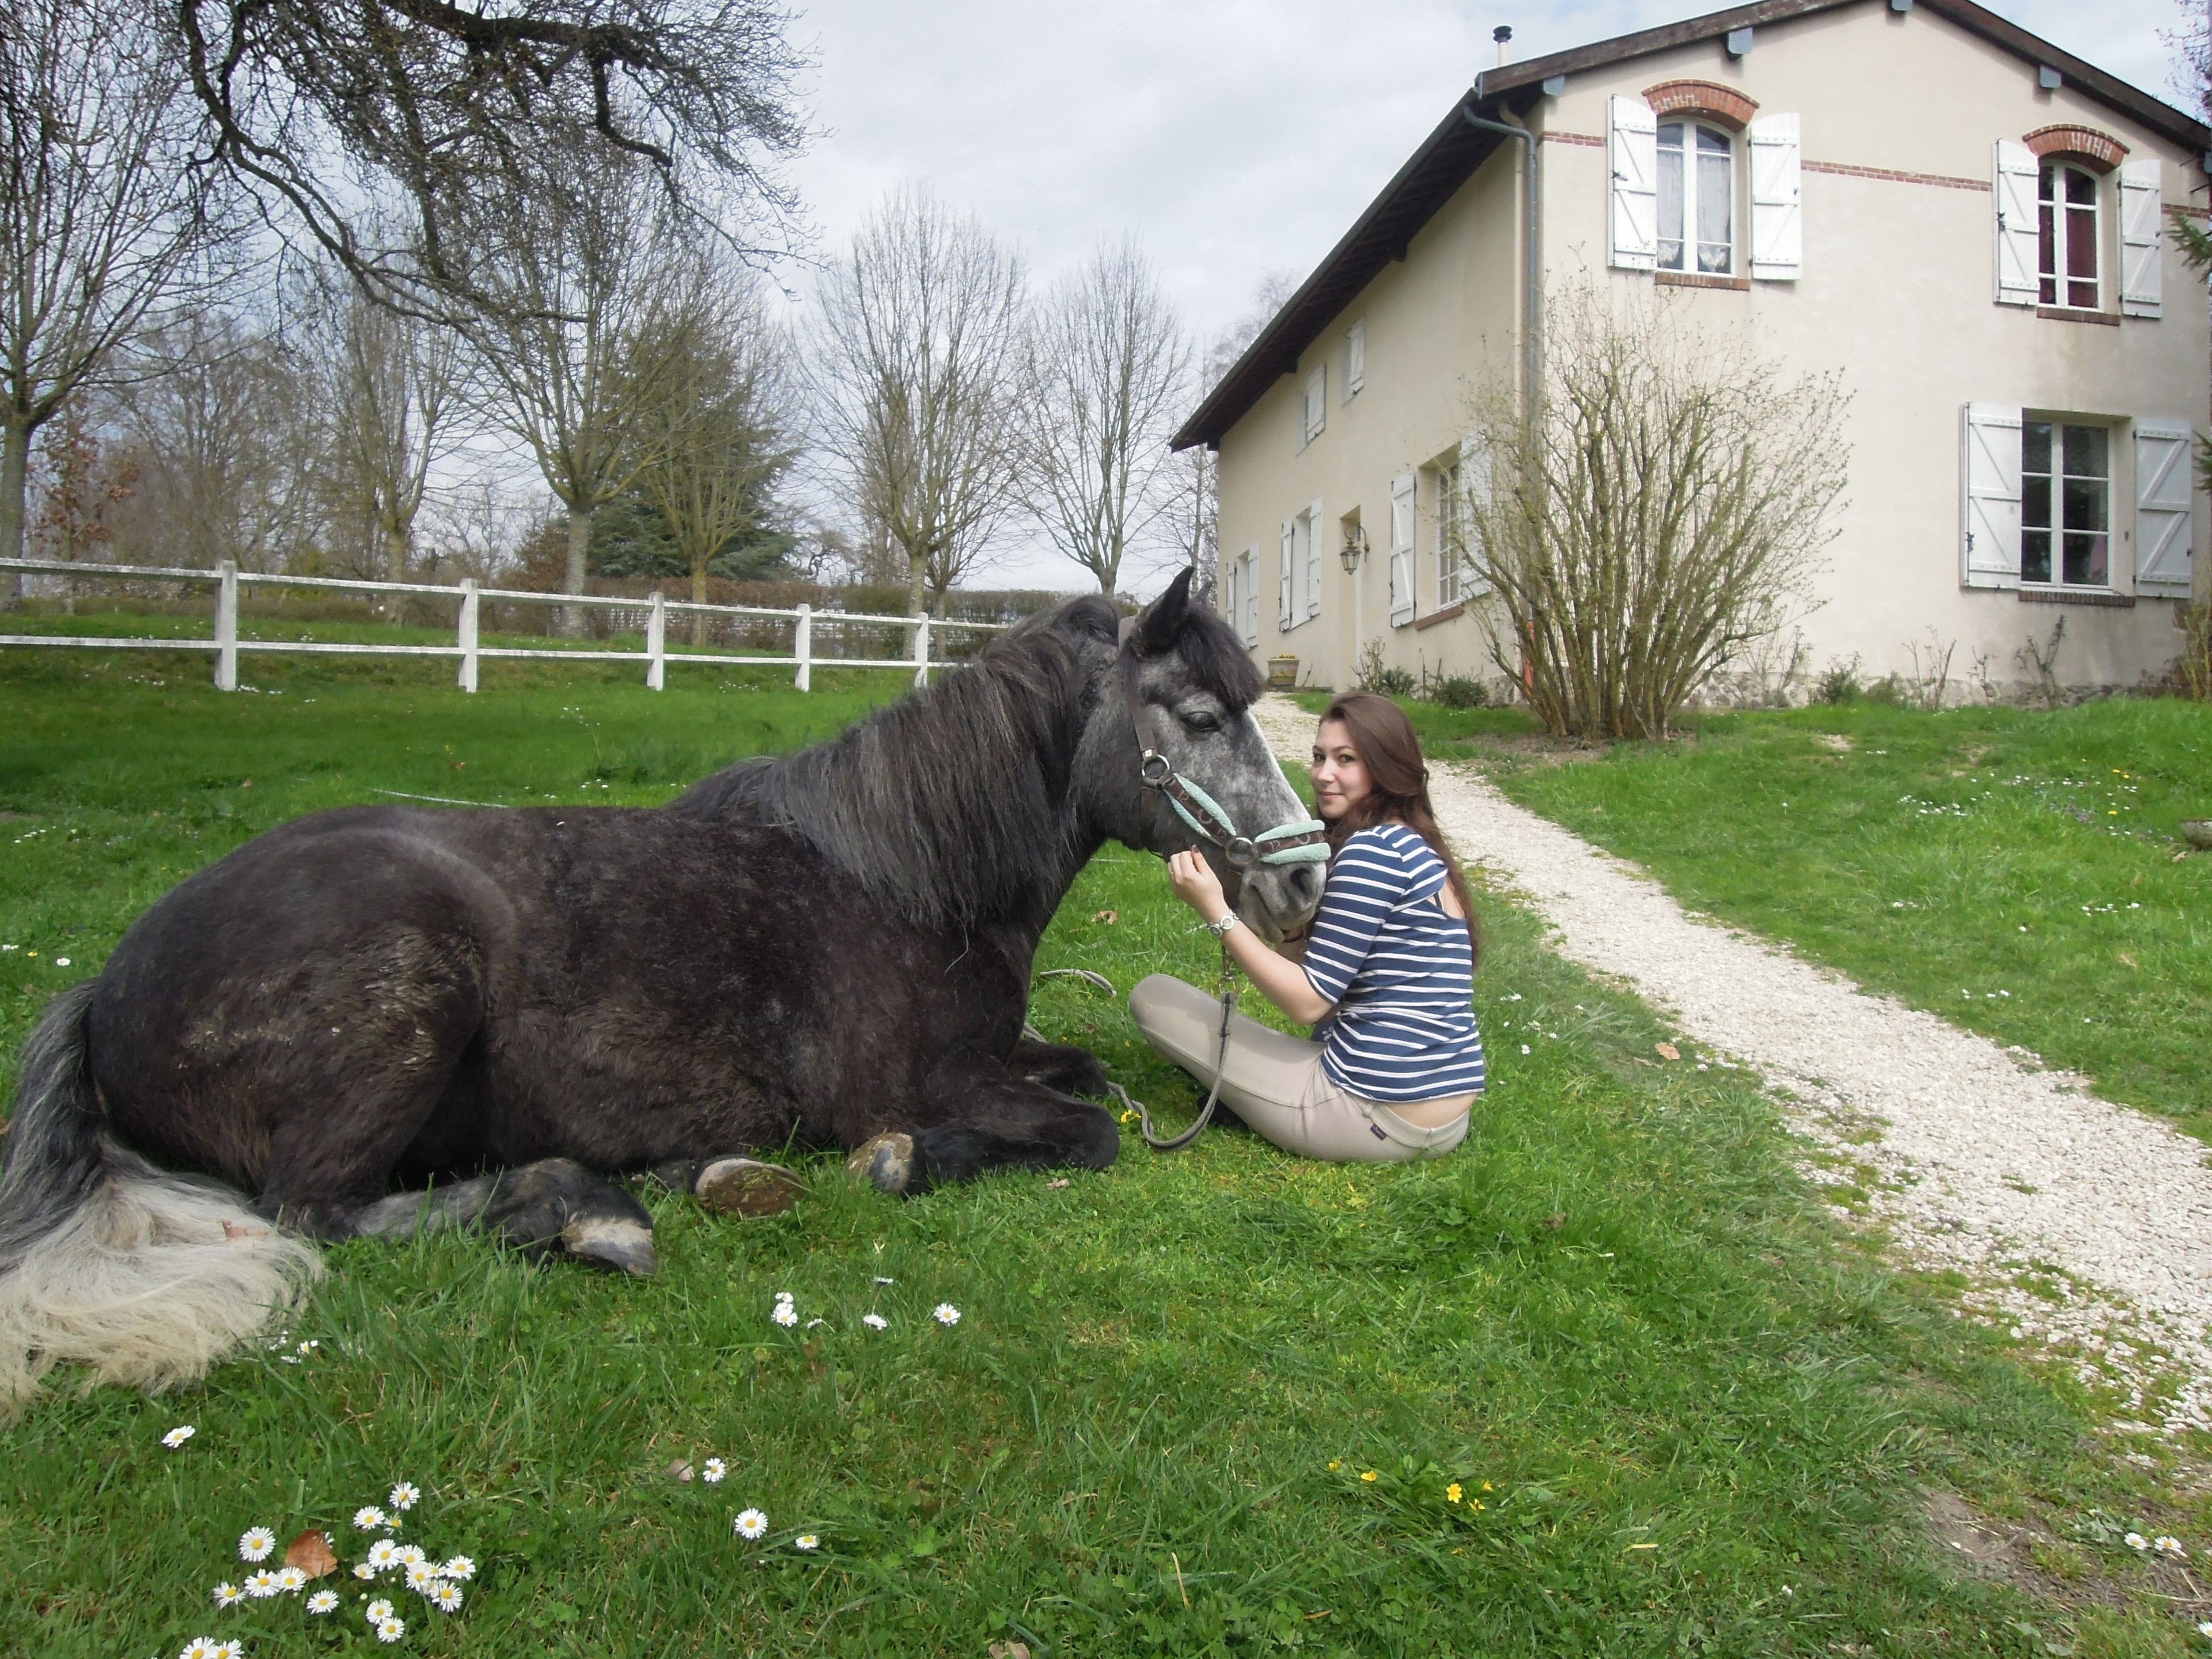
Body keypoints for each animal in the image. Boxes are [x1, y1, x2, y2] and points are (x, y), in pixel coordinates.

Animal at [0, 570, 1324, 1406]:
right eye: (1203, 717)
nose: (1303, 879)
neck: (902, 881)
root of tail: (102, 991)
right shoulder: (914, 1085)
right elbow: (1086, 1133)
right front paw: (900, 1164)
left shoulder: (1000, 1053)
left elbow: (1087, 1071)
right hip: (400, 1029)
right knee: (315, 1215)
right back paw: (593, 1211)